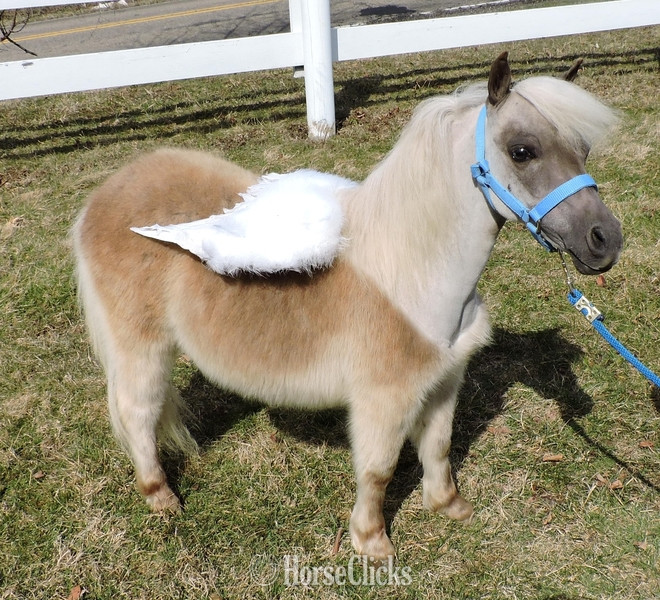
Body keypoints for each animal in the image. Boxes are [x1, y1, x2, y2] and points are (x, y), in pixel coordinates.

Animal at [72, 52, 623, 561]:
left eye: (583, 148)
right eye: (522, 151)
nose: (605, 241)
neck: (408, 272)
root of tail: (103, 195)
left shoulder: (445, 381)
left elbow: (438, 446)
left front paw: (449, 506)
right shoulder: (383, 400)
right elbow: (378, 470)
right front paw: (372, 542)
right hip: (141, 347)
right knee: (138, 411)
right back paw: (161, 498)